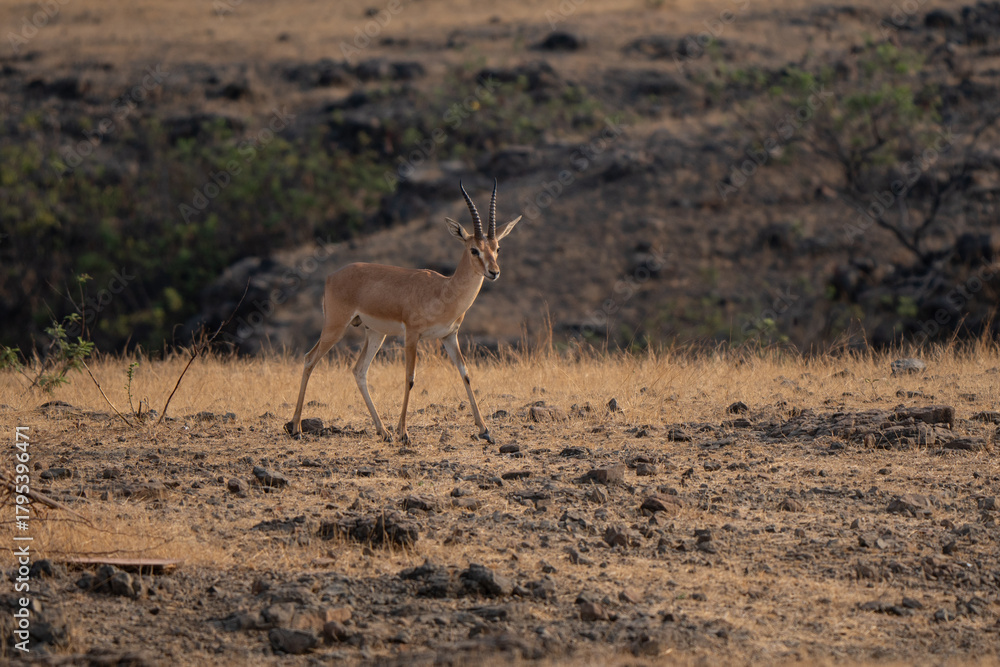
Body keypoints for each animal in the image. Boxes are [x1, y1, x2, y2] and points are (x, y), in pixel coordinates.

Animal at [288, 180, 522, 444]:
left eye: (497, 248)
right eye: (474, 249)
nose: (494, 272)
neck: (444, 291)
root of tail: (331, 276)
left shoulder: (449, 336)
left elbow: (466, 374)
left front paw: (485, 430)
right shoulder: (412, 335)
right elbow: (410, 378)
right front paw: (403, 432)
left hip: (375, 334)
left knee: (359, 370)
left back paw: (383, 431)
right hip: (335, 328)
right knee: (309, 359)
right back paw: (296, 428)